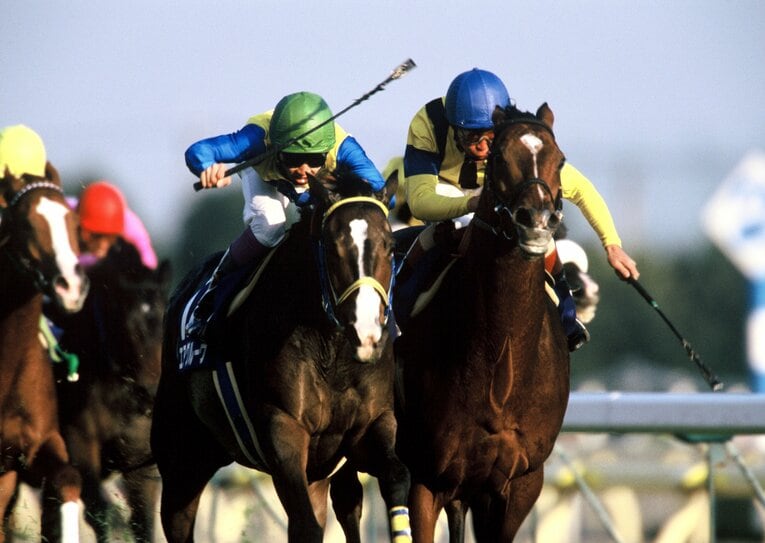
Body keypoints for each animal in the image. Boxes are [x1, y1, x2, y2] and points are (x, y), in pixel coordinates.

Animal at [48, 240, 171, 541]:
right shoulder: (80, 444)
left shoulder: (141, 462)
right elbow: (99, 513)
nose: (152, 391)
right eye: (128, 324)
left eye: (167, 318)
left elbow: (143, 522)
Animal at [151, 169, 412, 542]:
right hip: (182, 459)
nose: (367, 334)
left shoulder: (372, 425)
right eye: (334, 246)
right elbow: (307, 523)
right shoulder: (283, 430)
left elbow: (396, 477)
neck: (333, 353)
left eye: (390, 245)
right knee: (178, 520)